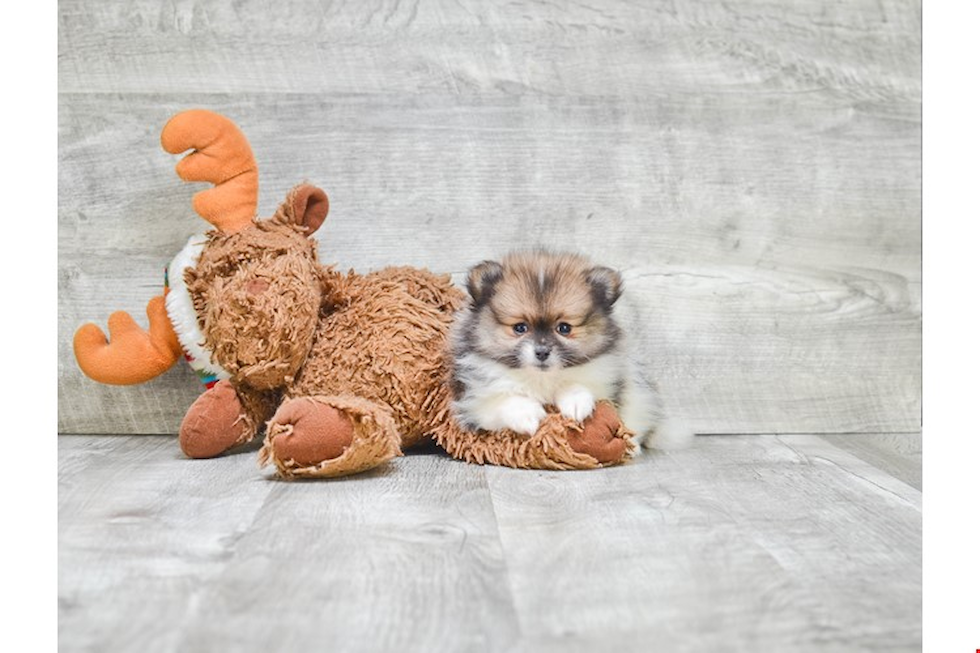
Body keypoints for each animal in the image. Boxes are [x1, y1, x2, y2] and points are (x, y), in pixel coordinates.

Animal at [448, 247, 692, 450]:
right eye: (520, 328)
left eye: (564, 328)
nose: (542, 352)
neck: (542, 379)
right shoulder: (473, 402)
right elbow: (506, 399)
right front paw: (527, 414)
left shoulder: (605, 383)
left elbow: (578, 385)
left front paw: (576, 403)